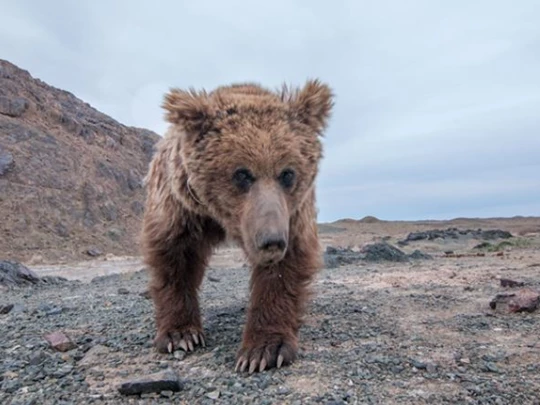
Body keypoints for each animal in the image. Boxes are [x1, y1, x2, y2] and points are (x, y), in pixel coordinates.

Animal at [140, 79, 334, 372]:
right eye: (242, 173)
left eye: (287, 173)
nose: (272, 241)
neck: (219, 217)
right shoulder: (180, 206)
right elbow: (174, 259)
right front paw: (180, 334)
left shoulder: (292, 213)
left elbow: (285, 268)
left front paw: (262, 351)